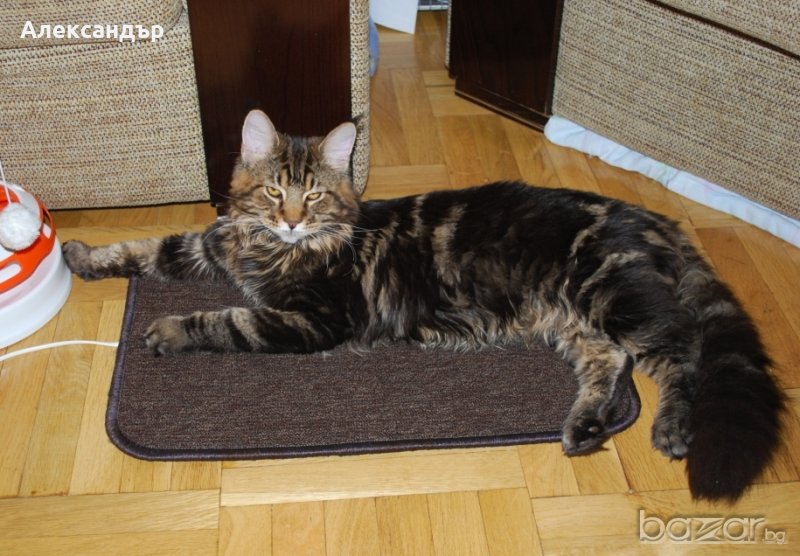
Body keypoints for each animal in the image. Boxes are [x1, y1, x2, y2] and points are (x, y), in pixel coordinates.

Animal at [62, 109, 784, 502]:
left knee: (681, 356)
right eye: (273, 193)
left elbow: (225, 318)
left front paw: (167, 329)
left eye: (313, 197)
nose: (292, 220)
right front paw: (81, 255)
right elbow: (146, 247)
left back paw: (672, 429)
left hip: (610, 298)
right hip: (577, 320)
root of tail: (653, 216)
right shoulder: (212, 246)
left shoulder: (312, 320)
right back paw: (583, 428)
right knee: (611, 366)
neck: (269, 249)